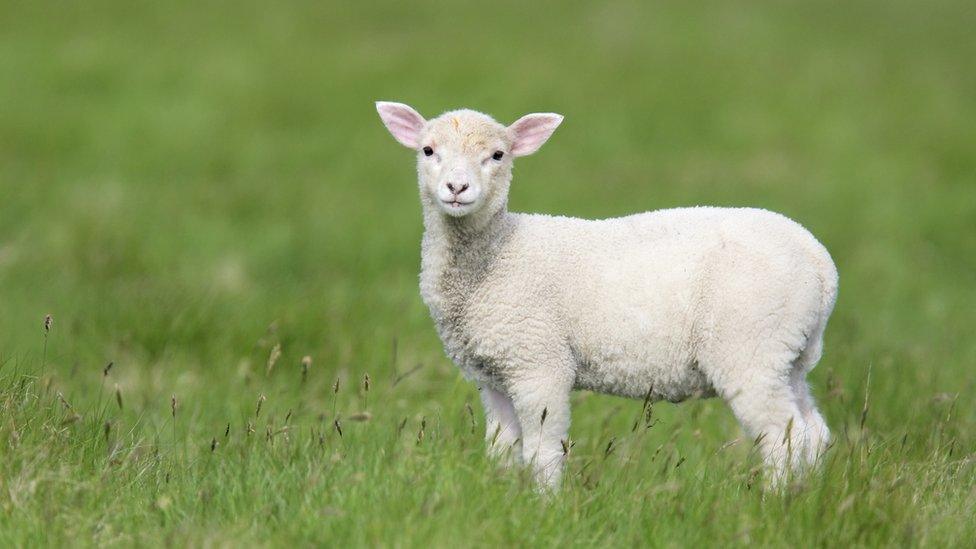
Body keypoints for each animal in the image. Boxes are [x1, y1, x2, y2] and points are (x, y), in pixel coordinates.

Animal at [374, 100, 840, 486]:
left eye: (498, 155)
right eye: (428, 151)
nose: (457, 188)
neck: (498, 251)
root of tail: (819, 262)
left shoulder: (538, 362)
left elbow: (542, 451)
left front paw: (546, 507)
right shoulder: (494, 374)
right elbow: (502, 450)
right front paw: (502, 496)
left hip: (750, 346)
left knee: (784, 437)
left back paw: (773, 503)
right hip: (790, 353)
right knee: (814, 433)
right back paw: (806, 498)